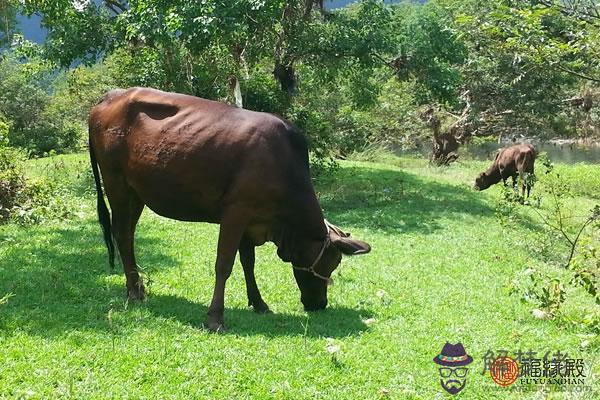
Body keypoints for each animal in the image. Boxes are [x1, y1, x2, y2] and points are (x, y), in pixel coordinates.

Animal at [89, 87, 370, 332]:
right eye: (332, 262)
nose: (319, 304)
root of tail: (110, 96)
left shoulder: (250, 221)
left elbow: (248, 263)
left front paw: (259, 303)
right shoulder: (236, 212)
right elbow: (224, 264)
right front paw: (215, 318)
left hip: (136, 193)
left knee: (127, 235)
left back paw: (137, 287)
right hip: (116, 185)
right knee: (122, 235)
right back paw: (134, 292)